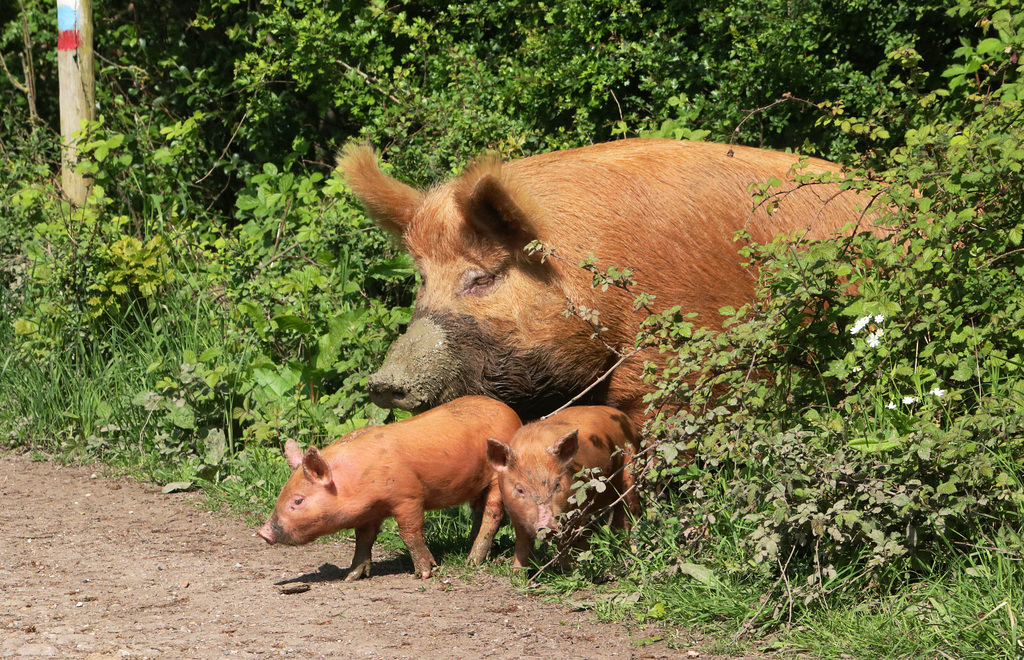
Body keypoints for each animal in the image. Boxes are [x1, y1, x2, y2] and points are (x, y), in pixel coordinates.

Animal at [258, 392, 520, 581]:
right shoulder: (369, 512)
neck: (354, 480)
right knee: (478, 511)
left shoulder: (409, 497)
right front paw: (351, 577)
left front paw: (425, 572)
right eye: (282, 493)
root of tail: (511, 413)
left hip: (497, 479)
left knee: (493, 513)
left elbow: (409, 533)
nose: (262, 532)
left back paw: (472, 560)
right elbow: (363, 539)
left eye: (298, 500)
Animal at [485, 407, 638, 564]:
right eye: (520, 489)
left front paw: (570, 567)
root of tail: (624, 416)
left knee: (628, 510)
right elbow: (522, 546)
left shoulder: (578, 509)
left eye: (557, 485)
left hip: (631, 464)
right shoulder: (514, 514)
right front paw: (516, 570)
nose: (547, 524)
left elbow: (567, 543)